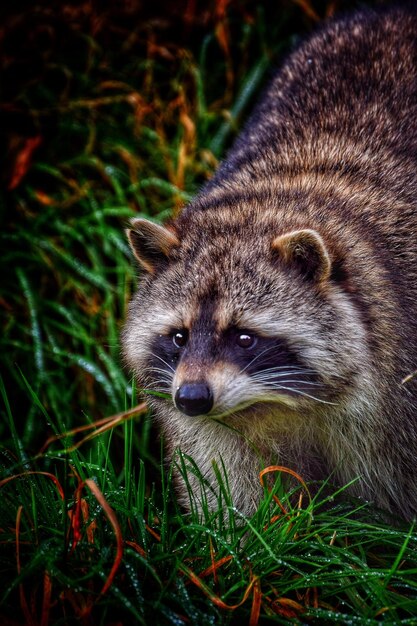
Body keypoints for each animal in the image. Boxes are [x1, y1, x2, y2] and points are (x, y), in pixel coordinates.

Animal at [122, 6, 416, 516]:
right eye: (178, 337)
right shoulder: (210, 433)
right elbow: (229, 497)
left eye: (244, 338)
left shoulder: (394, 401)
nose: (192, 398)